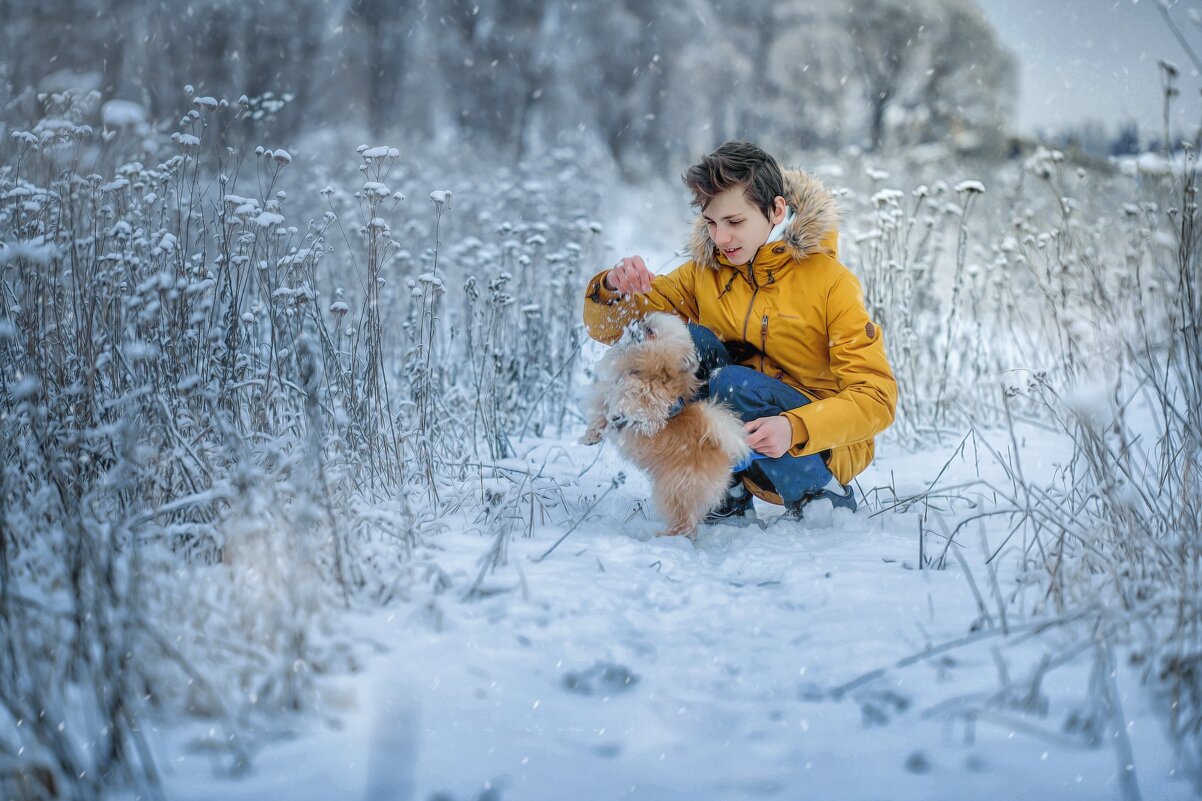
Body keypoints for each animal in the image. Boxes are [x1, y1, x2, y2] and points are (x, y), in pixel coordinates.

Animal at [581, 312, 750, 536]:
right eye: (645, 321)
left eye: (651, 331)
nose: (636, 321)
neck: (648, 369)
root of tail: (721, 449)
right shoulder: (608, 394)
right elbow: (601, 415)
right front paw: (590, 437)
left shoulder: (653, 407)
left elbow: (641, 406)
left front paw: (625, 414)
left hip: (673, 487)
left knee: (686, 522)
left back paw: (667, 537)